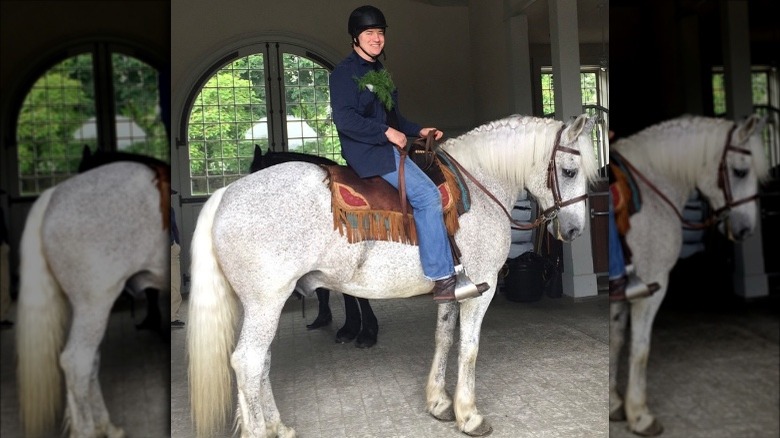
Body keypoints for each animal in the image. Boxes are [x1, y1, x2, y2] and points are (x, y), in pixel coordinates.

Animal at [16, 162, 168, 438]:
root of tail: (53, 195)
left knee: (90, 362)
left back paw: (106, 426)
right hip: (95, 305)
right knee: (77, 362)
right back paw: (87, 430)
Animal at [186, 114, 600, 436]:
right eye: (569, 171)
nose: (575, 230)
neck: (480, 186)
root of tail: (226, 193)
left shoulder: (453, 289)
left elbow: (443, 339)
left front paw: (439, 403)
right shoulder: (483, 287)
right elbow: (468, 348)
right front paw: (468, 415)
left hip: (261, 306)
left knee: (262, 362)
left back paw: (279, 427)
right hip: (266, 302)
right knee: (248, 362)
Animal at [608, 114, 768, 436]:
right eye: (740, 171)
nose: (745, 229)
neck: (653, 192)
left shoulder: (620, 291)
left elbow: (616, 339)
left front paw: (613, 402)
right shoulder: (652, 286)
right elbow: (640, 348)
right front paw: (639, 415)